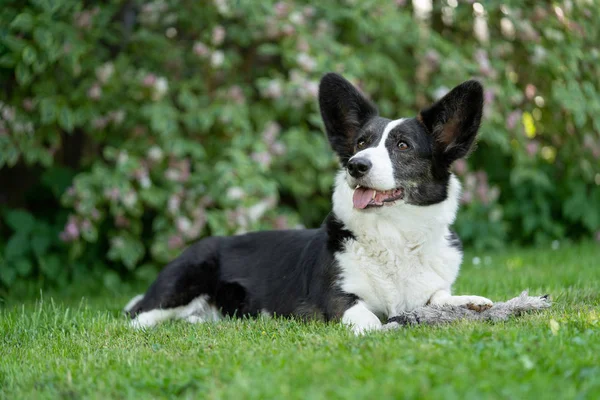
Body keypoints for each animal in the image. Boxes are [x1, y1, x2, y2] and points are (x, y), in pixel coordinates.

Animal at [125, 72, 492, 334]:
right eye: (361, 143)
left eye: (403, 145)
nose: (356, 165)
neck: (393, 235)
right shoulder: (338, 299)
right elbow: (369, 319)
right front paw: (385, 328)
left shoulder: (429, 288)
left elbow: (439, 296)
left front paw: (470, 303)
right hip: (180, 284)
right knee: (137, 318)